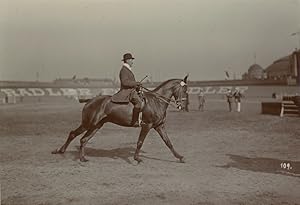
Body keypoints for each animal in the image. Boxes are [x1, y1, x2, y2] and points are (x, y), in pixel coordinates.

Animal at [51, 74, 188, 163]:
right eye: (184, 89)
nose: (184, 106)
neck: (156, 101)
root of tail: (90, 100)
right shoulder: (147, 126)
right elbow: (140, 142)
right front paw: (137, 158)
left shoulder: (159, 126)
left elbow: (168, 142)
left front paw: (180, 157)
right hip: (88, 123)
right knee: (74, 134)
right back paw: (64, 152)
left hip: (96, 126)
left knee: (83, 139)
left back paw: (79, 157)